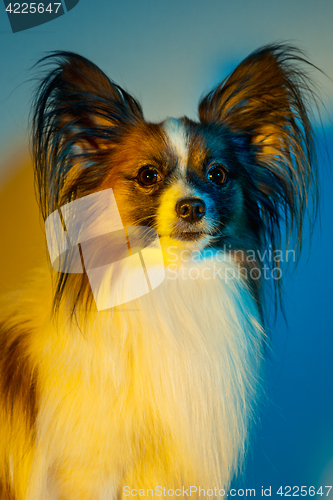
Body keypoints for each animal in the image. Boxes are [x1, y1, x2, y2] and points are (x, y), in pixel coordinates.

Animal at [0, 45, 318, 498]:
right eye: (148, 175)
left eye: (217, 174)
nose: (192, 206)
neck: (171, 281)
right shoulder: (89, 469)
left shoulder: (160, 473)